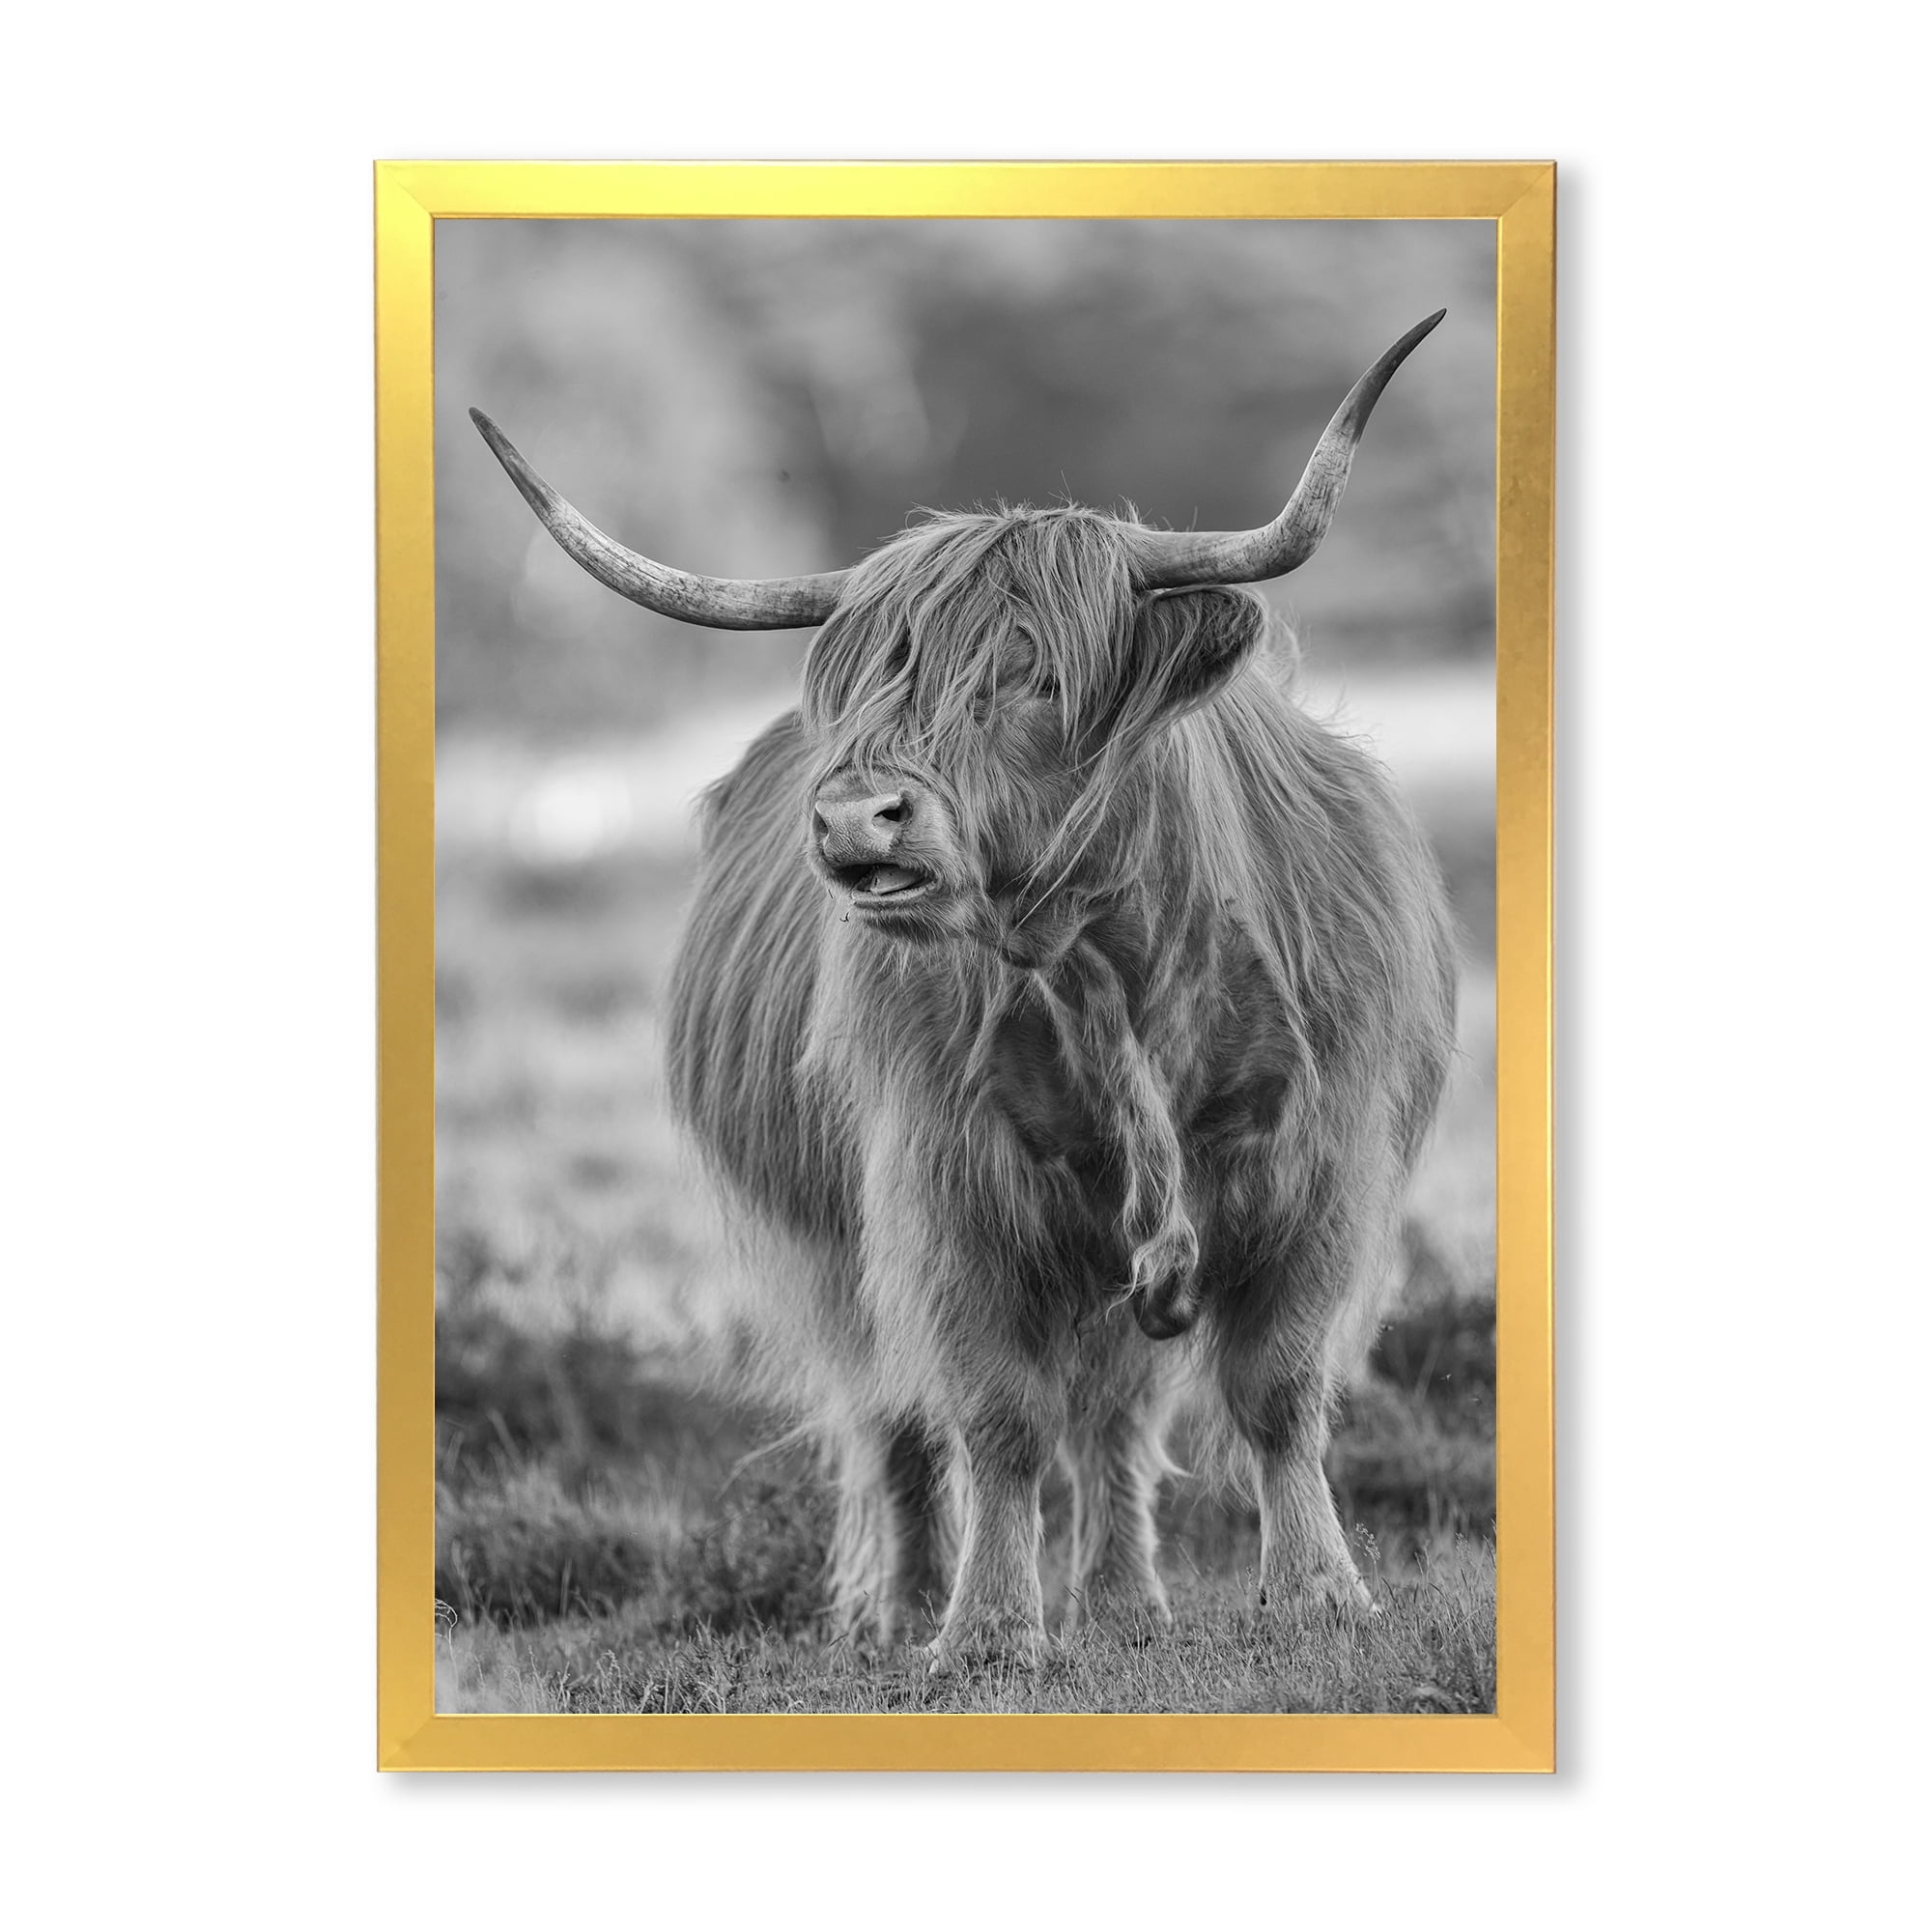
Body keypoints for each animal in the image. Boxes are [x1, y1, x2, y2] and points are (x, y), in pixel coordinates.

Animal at [470, 311, 1459, 1671]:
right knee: (897, 1412)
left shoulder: (1317, 1169)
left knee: (1114, 1413)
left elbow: (1276, 1389)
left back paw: (1123, 1599)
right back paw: (901, 1610)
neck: (1112, 971)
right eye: (869, 684)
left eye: (1034, 673)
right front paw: (986, 1627)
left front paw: (1317, 1594)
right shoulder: (945, 1189)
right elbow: (993, 1415)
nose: (852, 816)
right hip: (840, 1249)